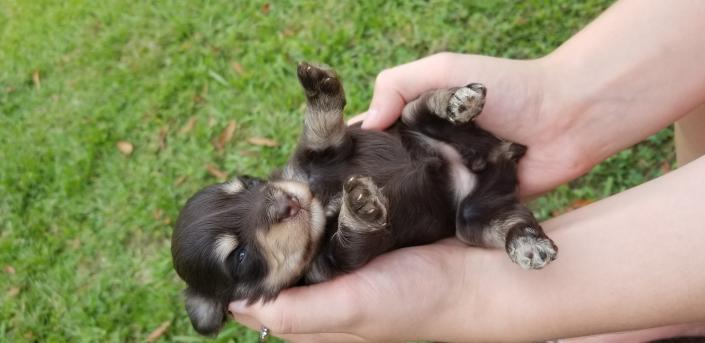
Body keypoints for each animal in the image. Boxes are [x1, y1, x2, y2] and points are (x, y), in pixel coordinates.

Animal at [169, 62, 556, 336]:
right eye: (240, 257)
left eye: (249, 184)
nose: (286, 204)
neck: (320, 201)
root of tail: (496, 158)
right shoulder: (337, 262)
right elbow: (353, 237)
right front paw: (359, 205)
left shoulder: (329, 150)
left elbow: (320, 129)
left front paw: (318, 86)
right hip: (474, 219)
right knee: (510, 224)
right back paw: (527, 245)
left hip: (411, 119)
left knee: (425, 106)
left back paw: (460, 101)